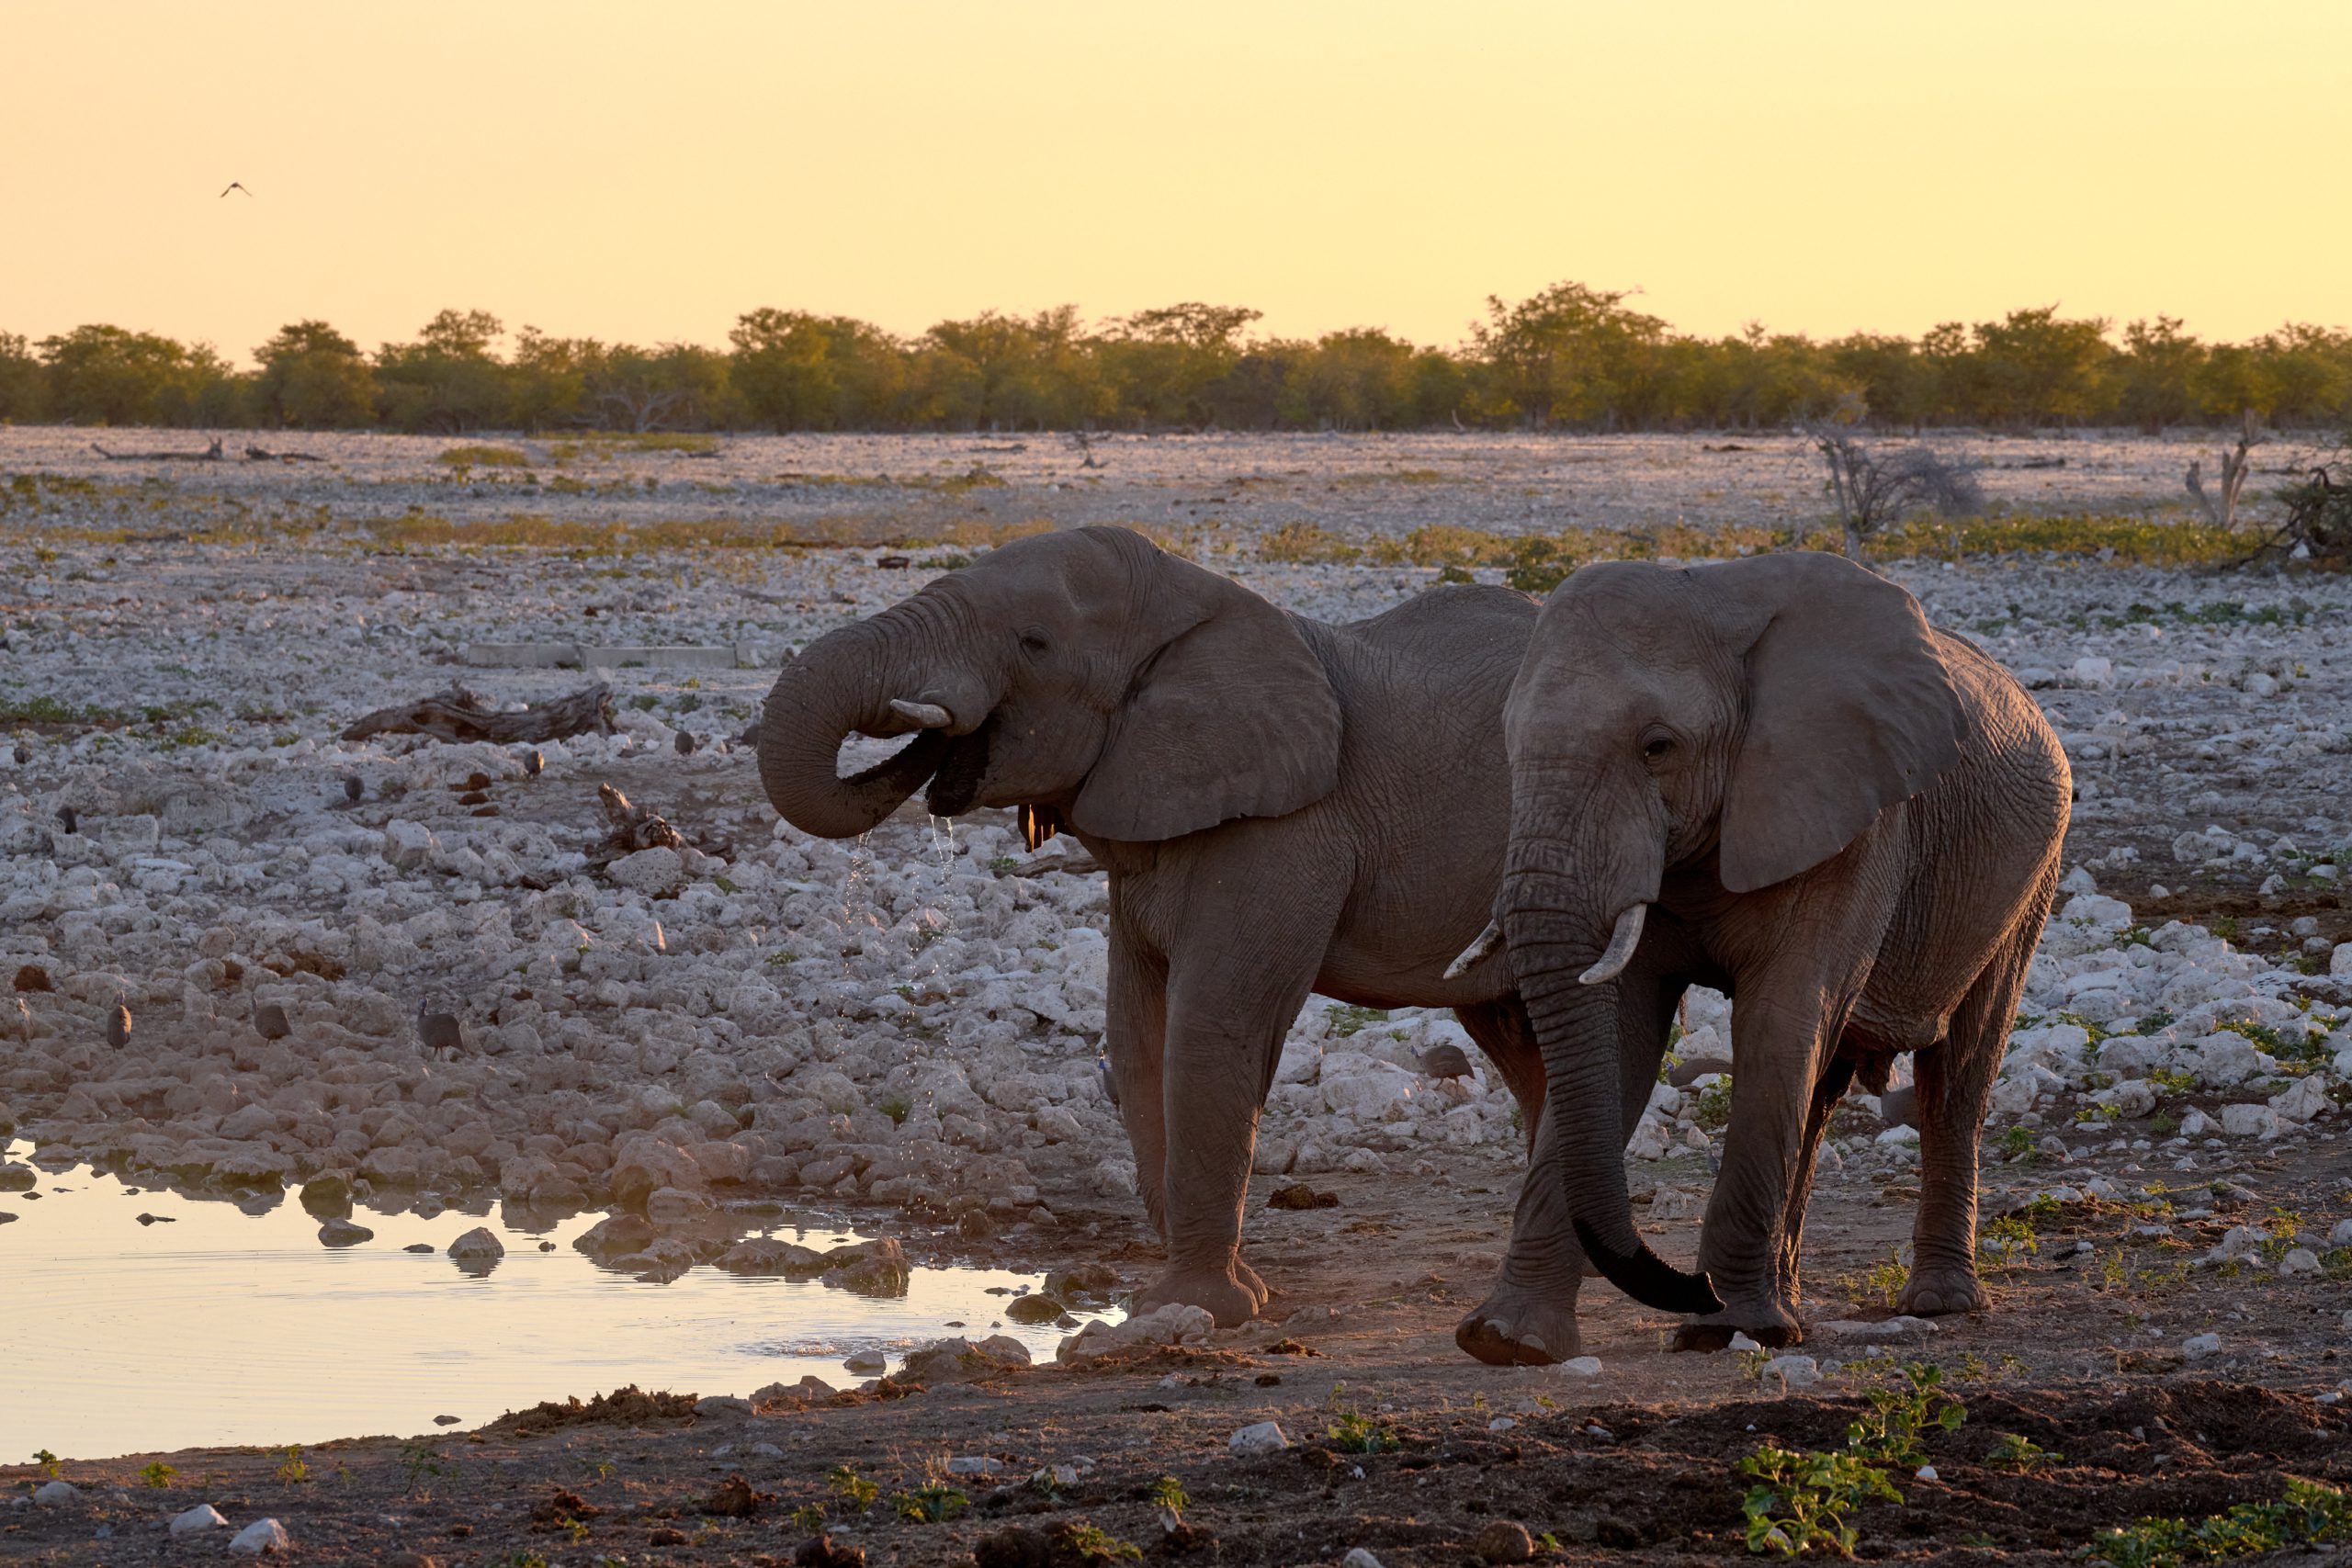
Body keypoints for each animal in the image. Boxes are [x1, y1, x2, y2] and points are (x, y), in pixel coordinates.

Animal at [752, 531, 1656, 1335]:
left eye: (1033, 643)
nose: (939, 748)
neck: (1192, 602)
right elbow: (1136, 1031)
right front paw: (1203, 1295)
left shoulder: (1285, 829)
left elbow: (1210, 1026)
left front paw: (1198, 1308)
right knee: (1524, 1042)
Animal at [1439, 552, 2069, 1363]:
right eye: (1508, 744)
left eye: (1657, 746)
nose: (1689, 1281)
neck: (1713, 596)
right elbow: (1625, 1042)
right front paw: (1506, 1341)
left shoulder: (1850, 816)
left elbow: (1778, 1023)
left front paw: (1725, 1329)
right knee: (1821, 1094)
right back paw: (1791, 1304)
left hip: (2029, 878)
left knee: (1956, 1076)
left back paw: (1937, 1303)